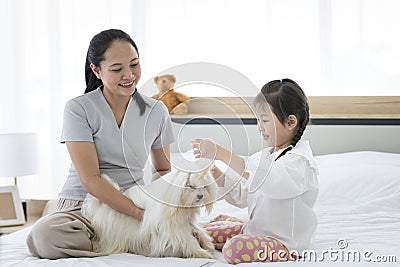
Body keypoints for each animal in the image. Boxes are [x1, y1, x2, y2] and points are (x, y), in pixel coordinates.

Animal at [82, 168, 219, 260]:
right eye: (191, 186)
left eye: (204, 186)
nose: (200, 196)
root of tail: (99, 204)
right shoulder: (172, 227)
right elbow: (187, 239)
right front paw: (202, 253)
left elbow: (197, 229)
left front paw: (207, 243)